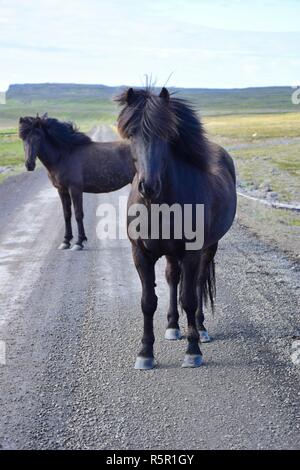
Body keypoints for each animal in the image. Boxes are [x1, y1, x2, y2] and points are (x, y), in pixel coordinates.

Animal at [19, 114, 135, 250]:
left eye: (37, 137)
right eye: (23, 138)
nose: (29, 165)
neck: (63, 155)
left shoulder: (75, 190)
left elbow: (78, 214)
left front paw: (79, 242)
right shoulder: (62, 190)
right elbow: (67, 214)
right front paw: (66, 241)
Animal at [116, 86, 236, 370]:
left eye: (166, 134)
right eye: (131, 132)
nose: (148, 186)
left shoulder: (192, 252)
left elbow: (189, 299)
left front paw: (193, 351)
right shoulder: (140, 254)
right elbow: (148, 302)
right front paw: (145, 353)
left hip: (209, 248)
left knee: (198, 282)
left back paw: (200, 330)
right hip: (171, 252)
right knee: (172, 277)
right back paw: (172, 326)